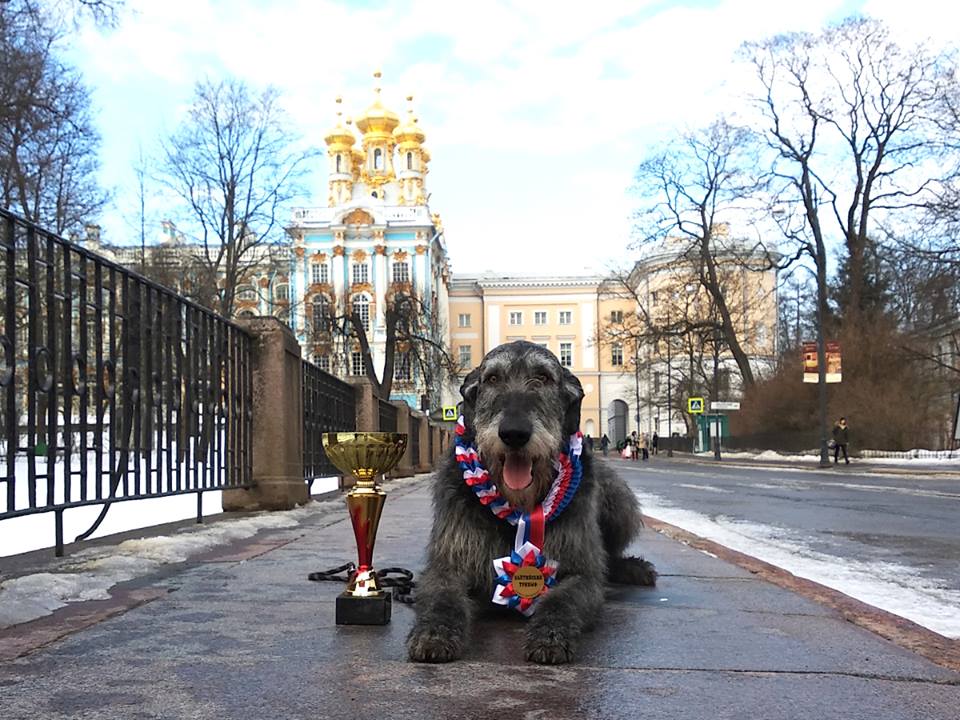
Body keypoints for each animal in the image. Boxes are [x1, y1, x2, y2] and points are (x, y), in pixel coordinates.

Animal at [404, 340, 652, 668]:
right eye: (492, 378)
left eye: (544, 377)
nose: (514, 434)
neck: (517, 505)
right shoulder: (447, 564)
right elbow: (441, 598)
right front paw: (433, 632)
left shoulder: (580, 573)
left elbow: (563, 599)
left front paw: (550, 635)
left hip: (617, 495)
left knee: (609, 556)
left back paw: (631, 567)